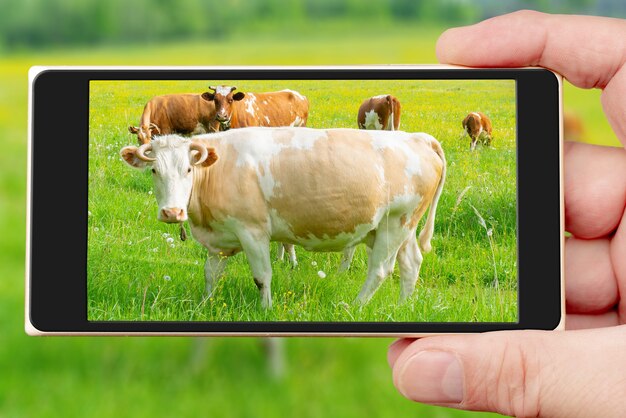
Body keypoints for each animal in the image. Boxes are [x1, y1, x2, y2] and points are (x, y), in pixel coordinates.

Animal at [120, 126, 444, 306]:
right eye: (154, 170)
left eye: (188, 169)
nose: (171, 212)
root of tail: (419, 138)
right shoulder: (219, 237)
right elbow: (211, 274)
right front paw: (204, 305)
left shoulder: (252, 231)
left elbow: (262, 276)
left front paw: (266, 309)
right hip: (402, 228)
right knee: (411, 264)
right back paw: (402, 307)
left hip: (395, 223)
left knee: (379, 270)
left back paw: (355, 306)